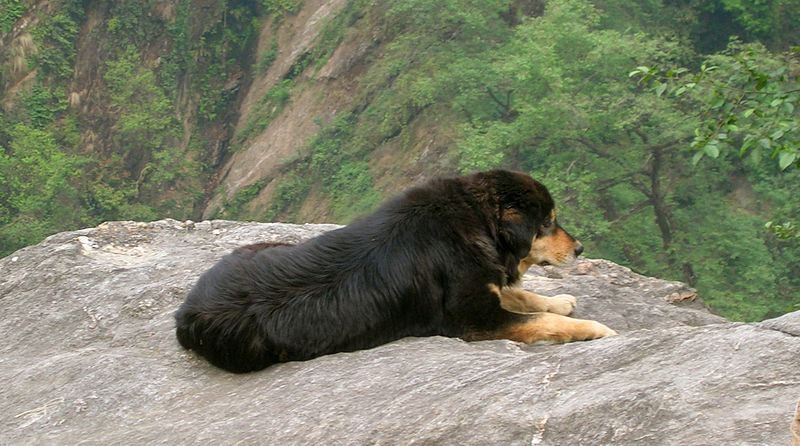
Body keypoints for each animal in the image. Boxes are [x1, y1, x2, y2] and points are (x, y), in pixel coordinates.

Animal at [173, 171, 612, 372]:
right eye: (548, 223)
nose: (580, 249)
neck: (476, 219)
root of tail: (184, 313)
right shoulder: (473, 319)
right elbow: (537, 319)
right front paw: (593, 328)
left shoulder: (482, 288)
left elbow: (520, 294)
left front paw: (559, 300)